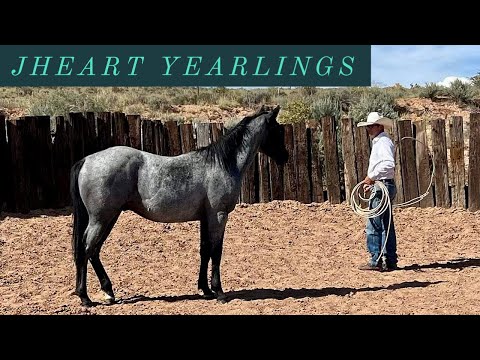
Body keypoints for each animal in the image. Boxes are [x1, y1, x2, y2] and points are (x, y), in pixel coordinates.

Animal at [69, 105, 286, 306]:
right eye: (278, 131)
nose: (285, 156)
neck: (222, 164)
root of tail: (86, 160)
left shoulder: (205, 217)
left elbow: (204, 250)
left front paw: (205, 290)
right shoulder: (219, 216)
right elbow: (216, 251)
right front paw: (219, 292)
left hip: (109, 217)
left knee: (94, 250)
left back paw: (108, 292)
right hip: (101, 219)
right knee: (85, 249)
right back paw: (85, 297)